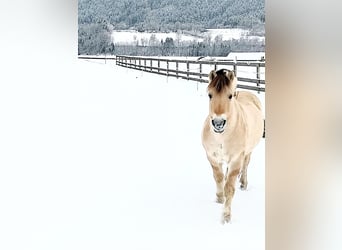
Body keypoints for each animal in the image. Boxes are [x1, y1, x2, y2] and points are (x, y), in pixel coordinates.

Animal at [202, 68, 264, 223]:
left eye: (230, 96)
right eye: (209, 95)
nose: (218, 123)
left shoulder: (236, 159)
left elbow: (229, 188)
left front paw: (226, 217)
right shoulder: (212, 157)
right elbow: (218, 178)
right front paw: (219, 198)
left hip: (248, 152)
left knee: (245, 166)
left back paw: (243, 183)